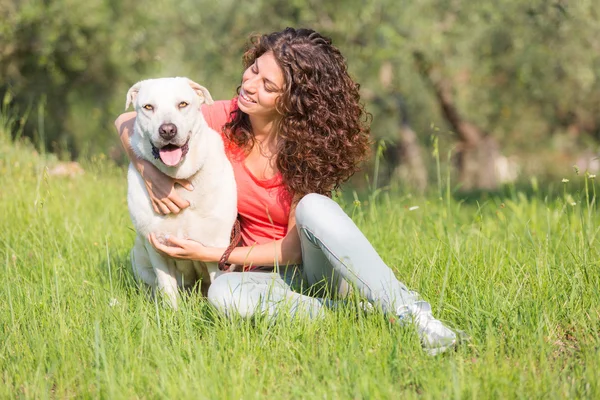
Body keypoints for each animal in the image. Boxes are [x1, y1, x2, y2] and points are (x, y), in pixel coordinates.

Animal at [125, 78, 237, 310]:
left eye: (183, 104)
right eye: (148, 107)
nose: (167, 130)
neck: (178, 181)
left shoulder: (216, 248)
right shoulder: (157, 247)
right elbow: (168, 290)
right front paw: (172, 315)